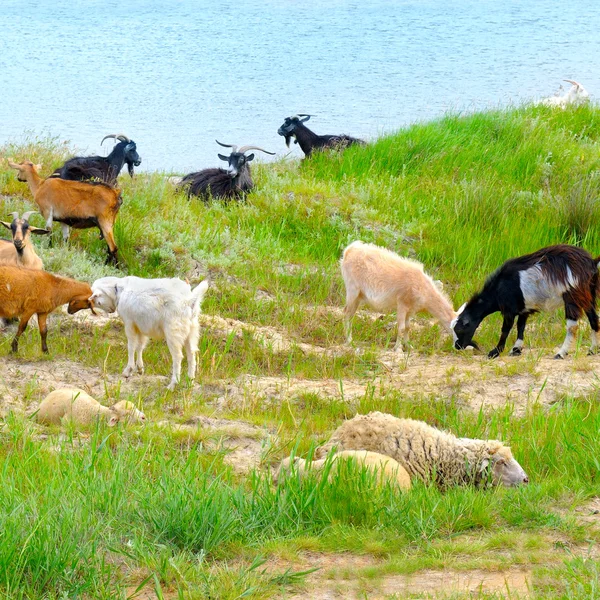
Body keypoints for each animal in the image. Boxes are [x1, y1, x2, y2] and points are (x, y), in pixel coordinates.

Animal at [452, 245, 600, 358]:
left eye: (460, 329)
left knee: (572, 326)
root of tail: (591, 262)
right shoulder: (524, 308)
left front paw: (495, 352)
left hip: (572, 296)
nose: (457, 346)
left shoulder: (509, 310)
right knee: (593, 319)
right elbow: (521, 327)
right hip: (588, 295)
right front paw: (516, 350)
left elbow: (505, 330)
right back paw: (592, 350)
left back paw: (561, 353)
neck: (499, 287)